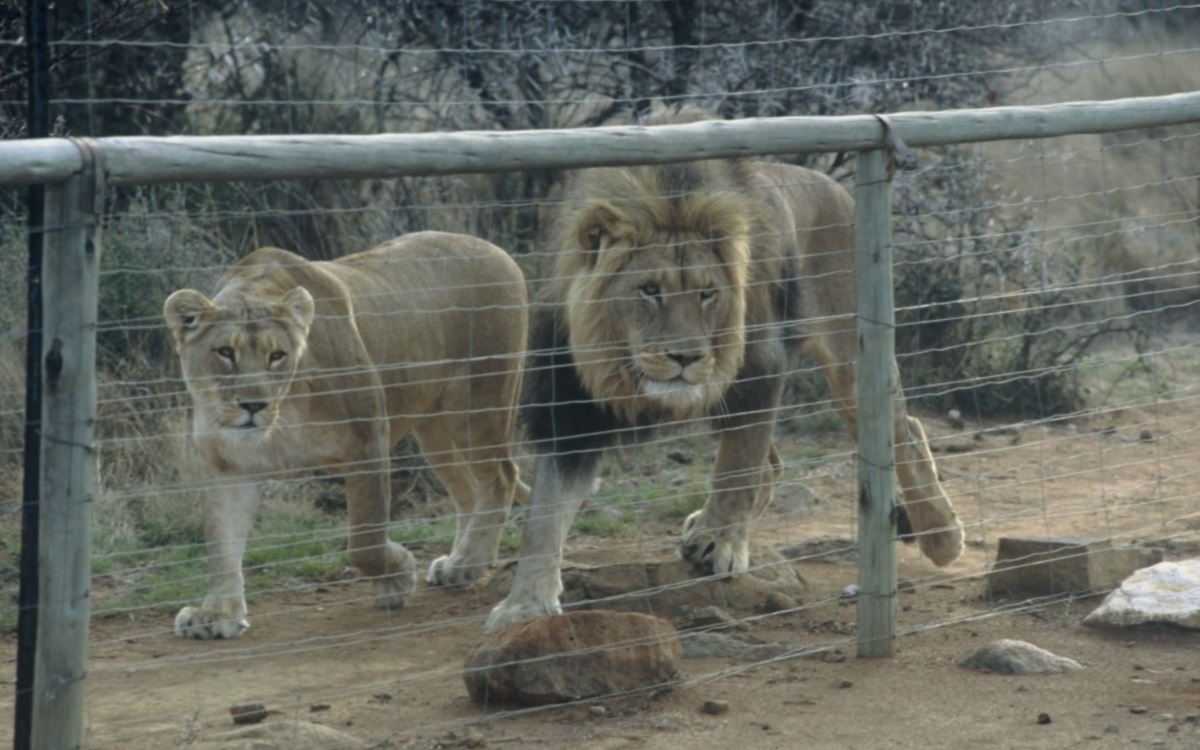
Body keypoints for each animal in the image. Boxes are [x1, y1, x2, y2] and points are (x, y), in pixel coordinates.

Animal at [163, 229, 525, 638]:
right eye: (225, 352)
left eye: (277, 356)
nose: (253, 405)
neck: (283, 413)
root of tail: (493, 248)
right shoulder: (226, 465)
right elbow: (221, 544)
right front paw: (216, 615)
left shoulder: (368, 440)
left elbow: (365, 541)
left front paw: (398, 575)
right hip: (434, 432)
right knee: (468, 490)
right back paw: (456, 564)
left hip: (478, 406)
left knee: (501, 476)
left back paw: (470, 563)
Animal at [482, 105, 960, 633]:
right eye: (649, 290)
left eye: (707, 292)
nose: (686, 357)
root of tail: (832, 186)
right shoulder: (571, 406)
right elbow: (543, 515)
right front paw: (525, 603)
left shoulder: (757, 368)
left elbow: (737, 466)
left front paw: (724, 541)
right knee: (774, 463)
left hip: (850, 359)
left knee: (906, 430)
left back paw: (942, 537)